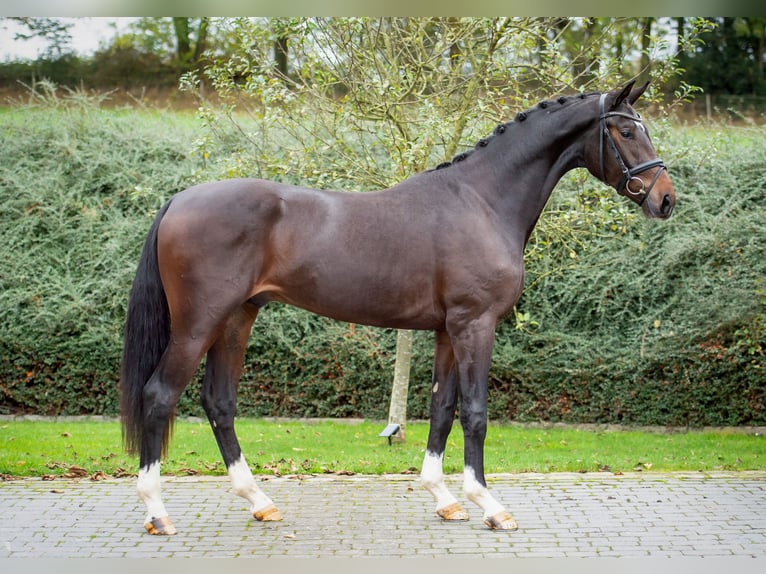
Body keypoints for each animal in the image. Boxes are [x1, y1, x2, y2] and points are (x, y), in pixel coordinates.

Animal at [120, 80, 680, 536]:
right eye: (626, 131)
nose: (666, 199)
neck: (481, 200)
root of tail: (178, 201)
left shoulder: (447, 330)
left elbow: (441, 408)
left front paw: (445, 499)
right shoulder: (476, 324)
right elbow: (475, 413)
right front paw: (489, 505)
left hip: (237, 318)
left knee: (219, 403)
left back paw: (259, 502)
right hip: (199, 324)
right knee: (160, 395)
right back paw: (157, 513)